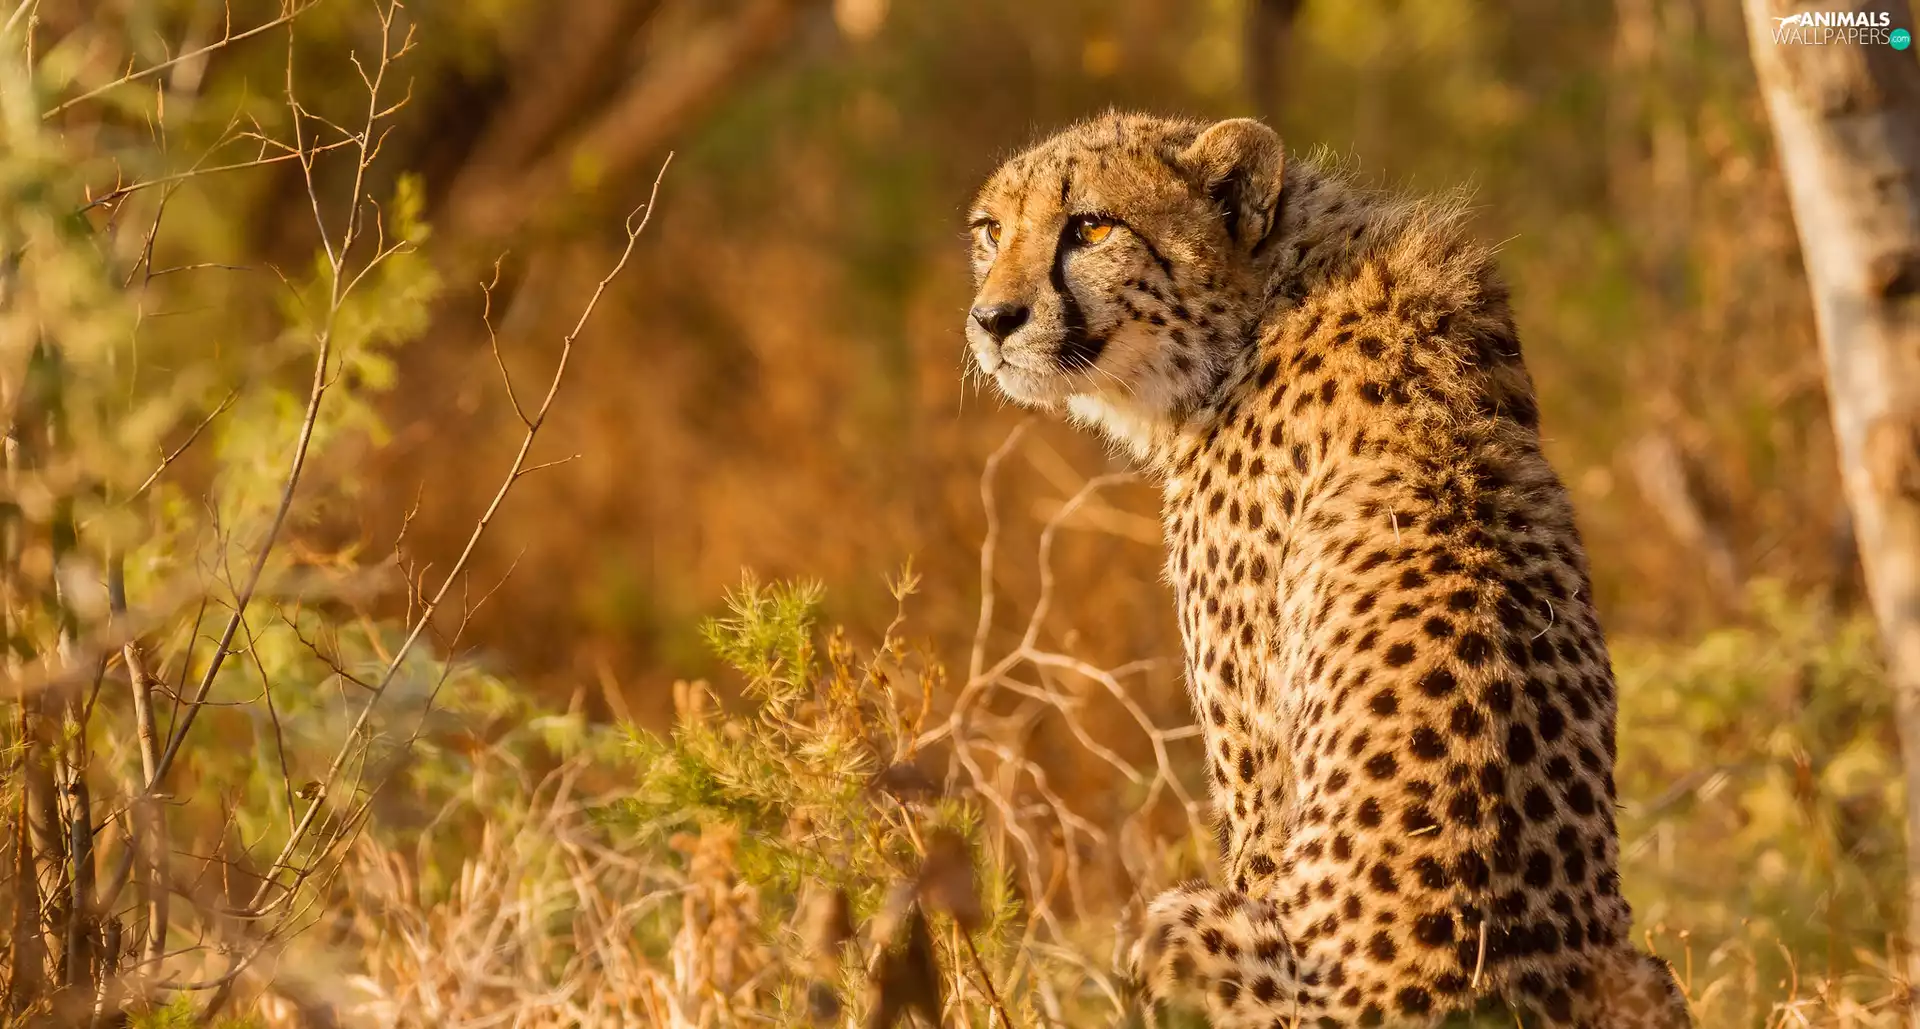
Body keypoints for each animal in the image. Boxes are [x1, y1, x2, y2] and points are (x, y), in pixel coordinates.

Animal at [962, 112, 1693, 1028]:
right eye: (991, 231)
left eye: (1091, 227)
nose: (994, 319)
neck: (1266, 301)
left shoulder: (1258, 771)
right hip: (1646, 970)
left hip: (1178, 924)